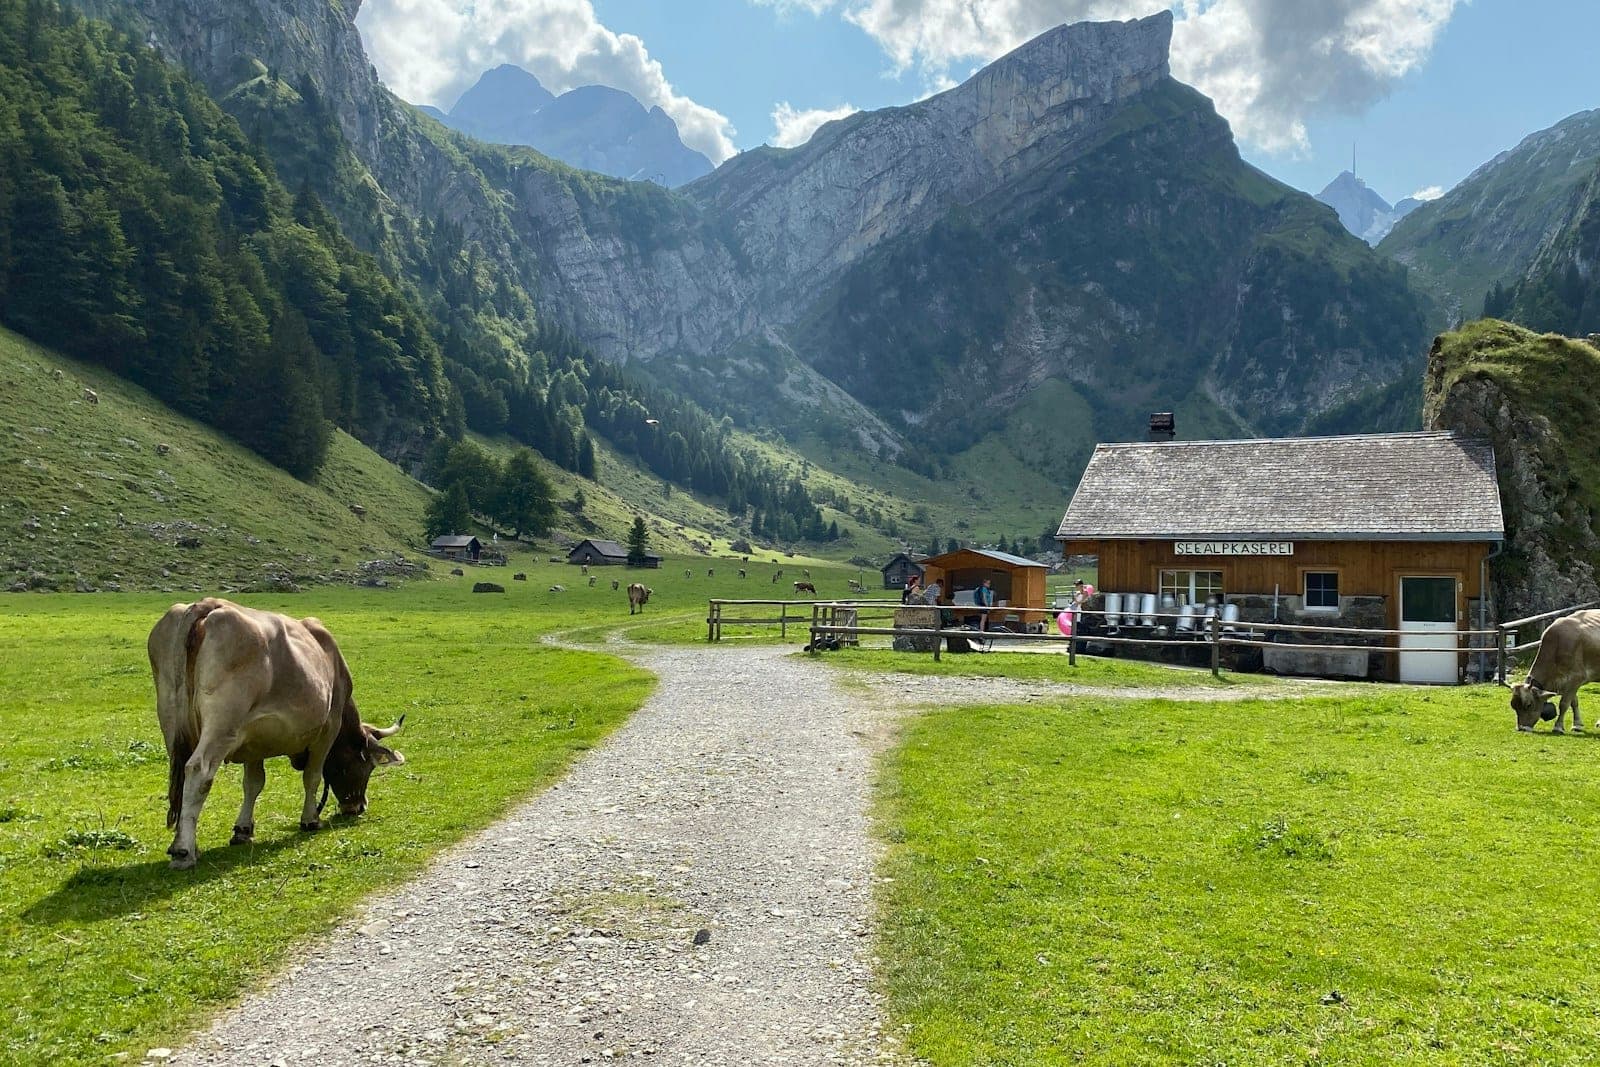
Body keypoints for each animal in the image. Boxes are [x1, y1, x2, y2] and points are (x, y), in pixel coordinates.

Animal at [149, 599, 405, 870]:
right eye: (367, 767)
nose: (358, 806)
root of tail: (209, 604)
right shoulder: (328, 730)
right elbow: (312, 777)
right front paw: (310, 819)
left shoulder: (252, 739)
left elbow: (253, 783)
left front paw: (243, 829)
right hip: (221, 727)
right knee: (198, 771)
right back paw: (183, 850)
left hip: (171, 722)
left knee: (180, 778)